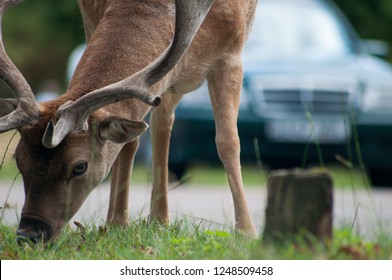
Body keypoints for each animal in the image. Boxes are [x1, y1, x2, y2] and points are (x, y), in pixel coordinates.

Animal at [0, 0, 260, 242]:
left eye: (80, 166)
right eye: (19, 160)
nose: (29, 234)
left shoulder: (231, 56)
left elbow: (228, 142)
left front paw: (247, 231)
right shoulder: (90, 20)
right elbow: (126, 142)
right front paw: (117, 223)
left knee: (162, 124)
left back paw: (159, 219)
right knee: (154, 127)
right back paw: (152, 219)